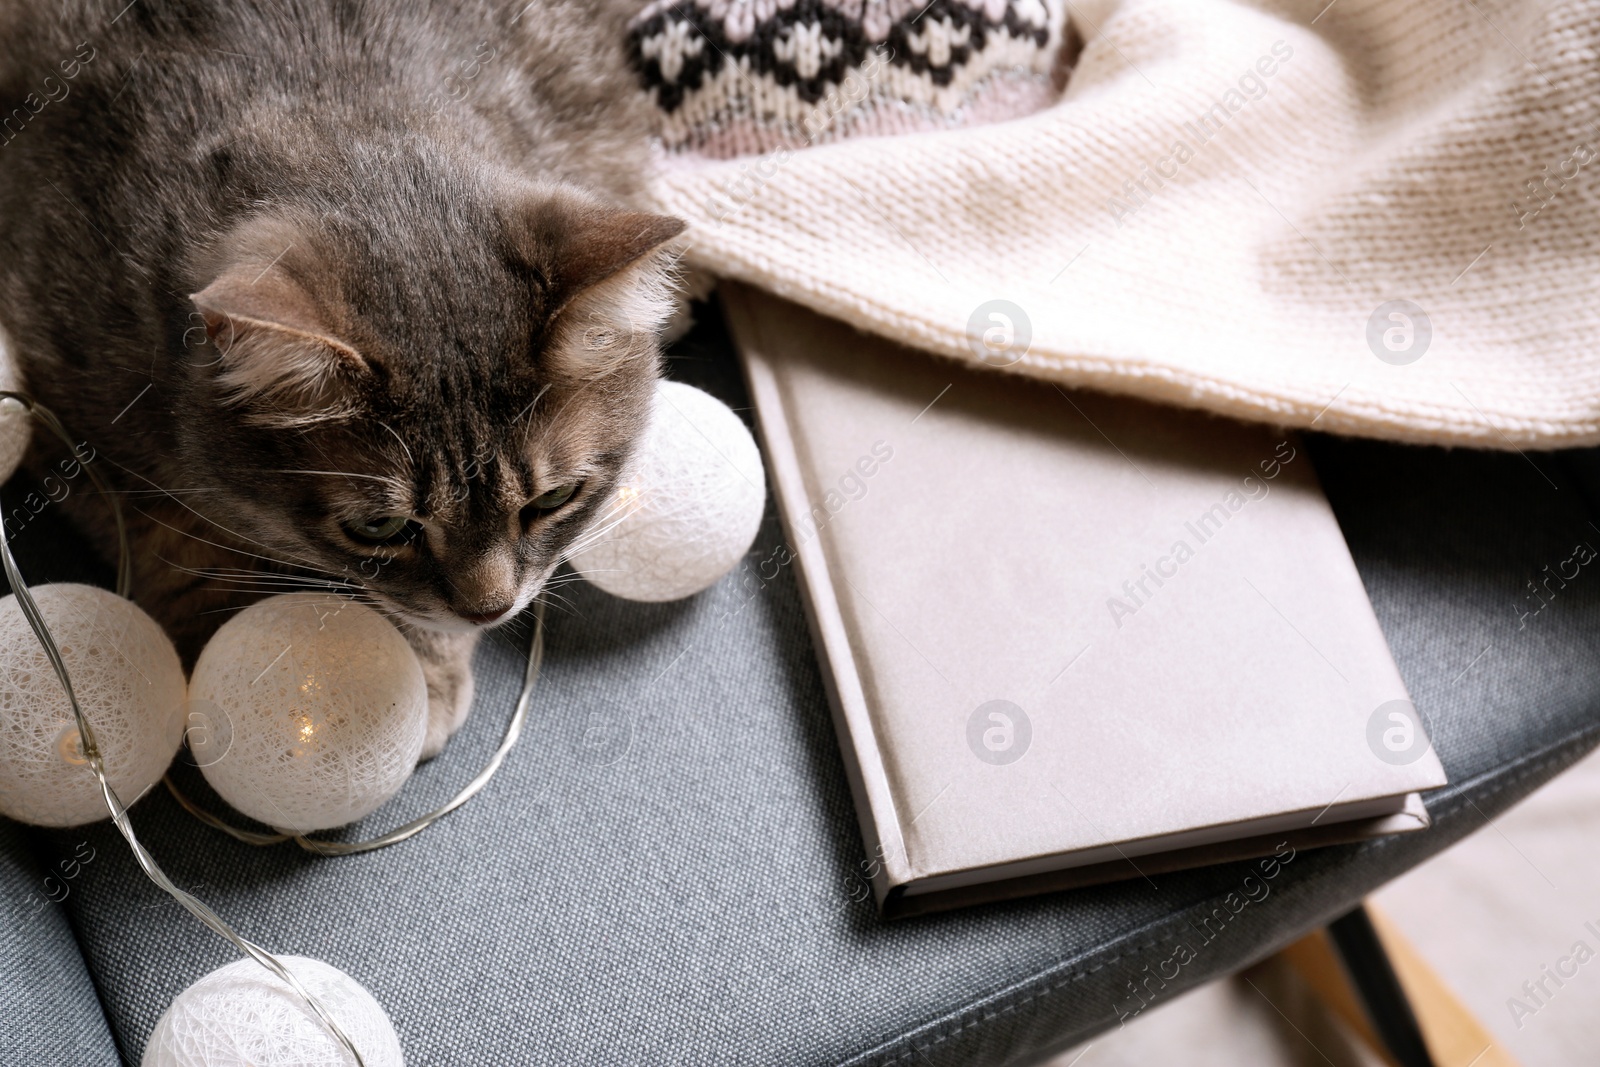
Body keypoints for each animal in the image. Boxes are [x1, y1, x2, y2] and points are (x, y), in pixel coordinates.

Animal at [0, 0, 678, 758]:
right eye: (381, 527)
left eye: (556, 497)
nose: (489, 609)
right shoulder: (55, 398)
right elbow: (166, 532)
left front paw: (423, 662)